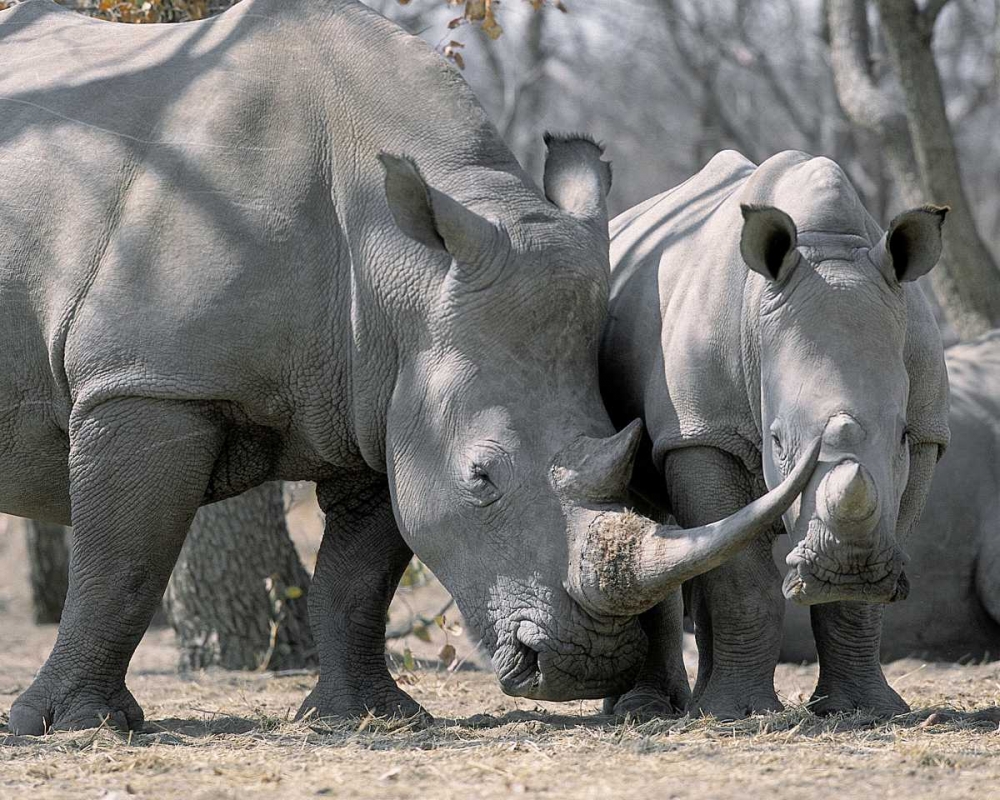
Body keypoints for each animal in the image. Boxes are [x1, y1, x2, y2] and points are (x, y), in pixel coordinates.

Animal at [0, 2, 817, 735]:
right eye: (482, 478)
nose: (585, 665)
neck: (398, 261)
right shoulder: (147, 381)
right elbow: (123, 562)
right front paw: (75, 726)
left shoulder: (385, 392)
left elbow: (359, 576)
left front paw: (367, 717)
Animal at [600, 150, 950, 719]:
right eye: (778, 442)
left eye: (899, 437)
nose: (847, 567)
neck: (828, 247)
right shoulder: (703, 430)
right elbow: (739, 577)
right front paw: (737, 714)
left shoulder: (926, 433)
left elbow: (862, 588)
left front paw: (864, 710)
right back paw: (648, 711)